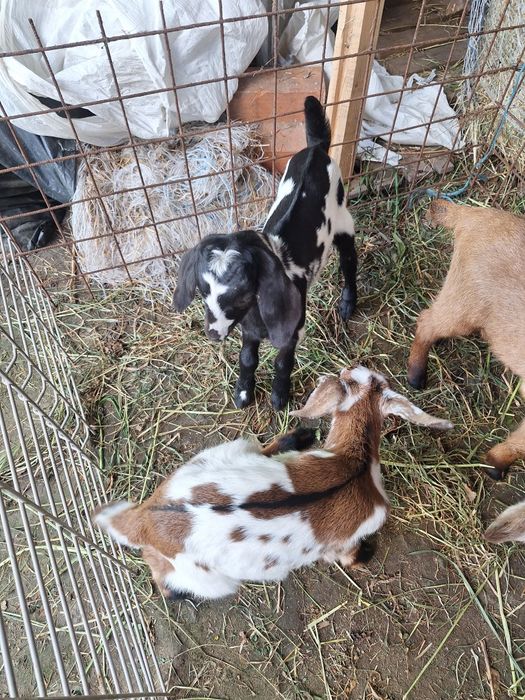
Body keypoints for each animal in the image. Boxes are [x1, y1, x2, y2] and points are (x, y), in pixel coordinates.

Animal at [92, 366, 452, 602]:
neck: (355, 463)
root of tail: (144, 517)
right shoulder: (345, 542)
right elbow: (351, 558)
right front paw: (368, 553)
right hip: (210, 580)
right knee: (166, 584)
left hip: (223, 452)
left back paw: (299, 436)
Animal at [172, 96, 357, 410]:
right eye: (201, 291)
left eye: (242, 294)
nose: (213, 333)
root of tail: (316, 149)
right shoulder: (248, 328)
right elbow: (248, 358)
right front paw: (243, 393)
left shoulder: (292, 328)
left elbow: (283, 362)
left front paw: (279, 397)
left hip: (343, 219)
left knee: (349, 260)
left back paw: (347, 304)